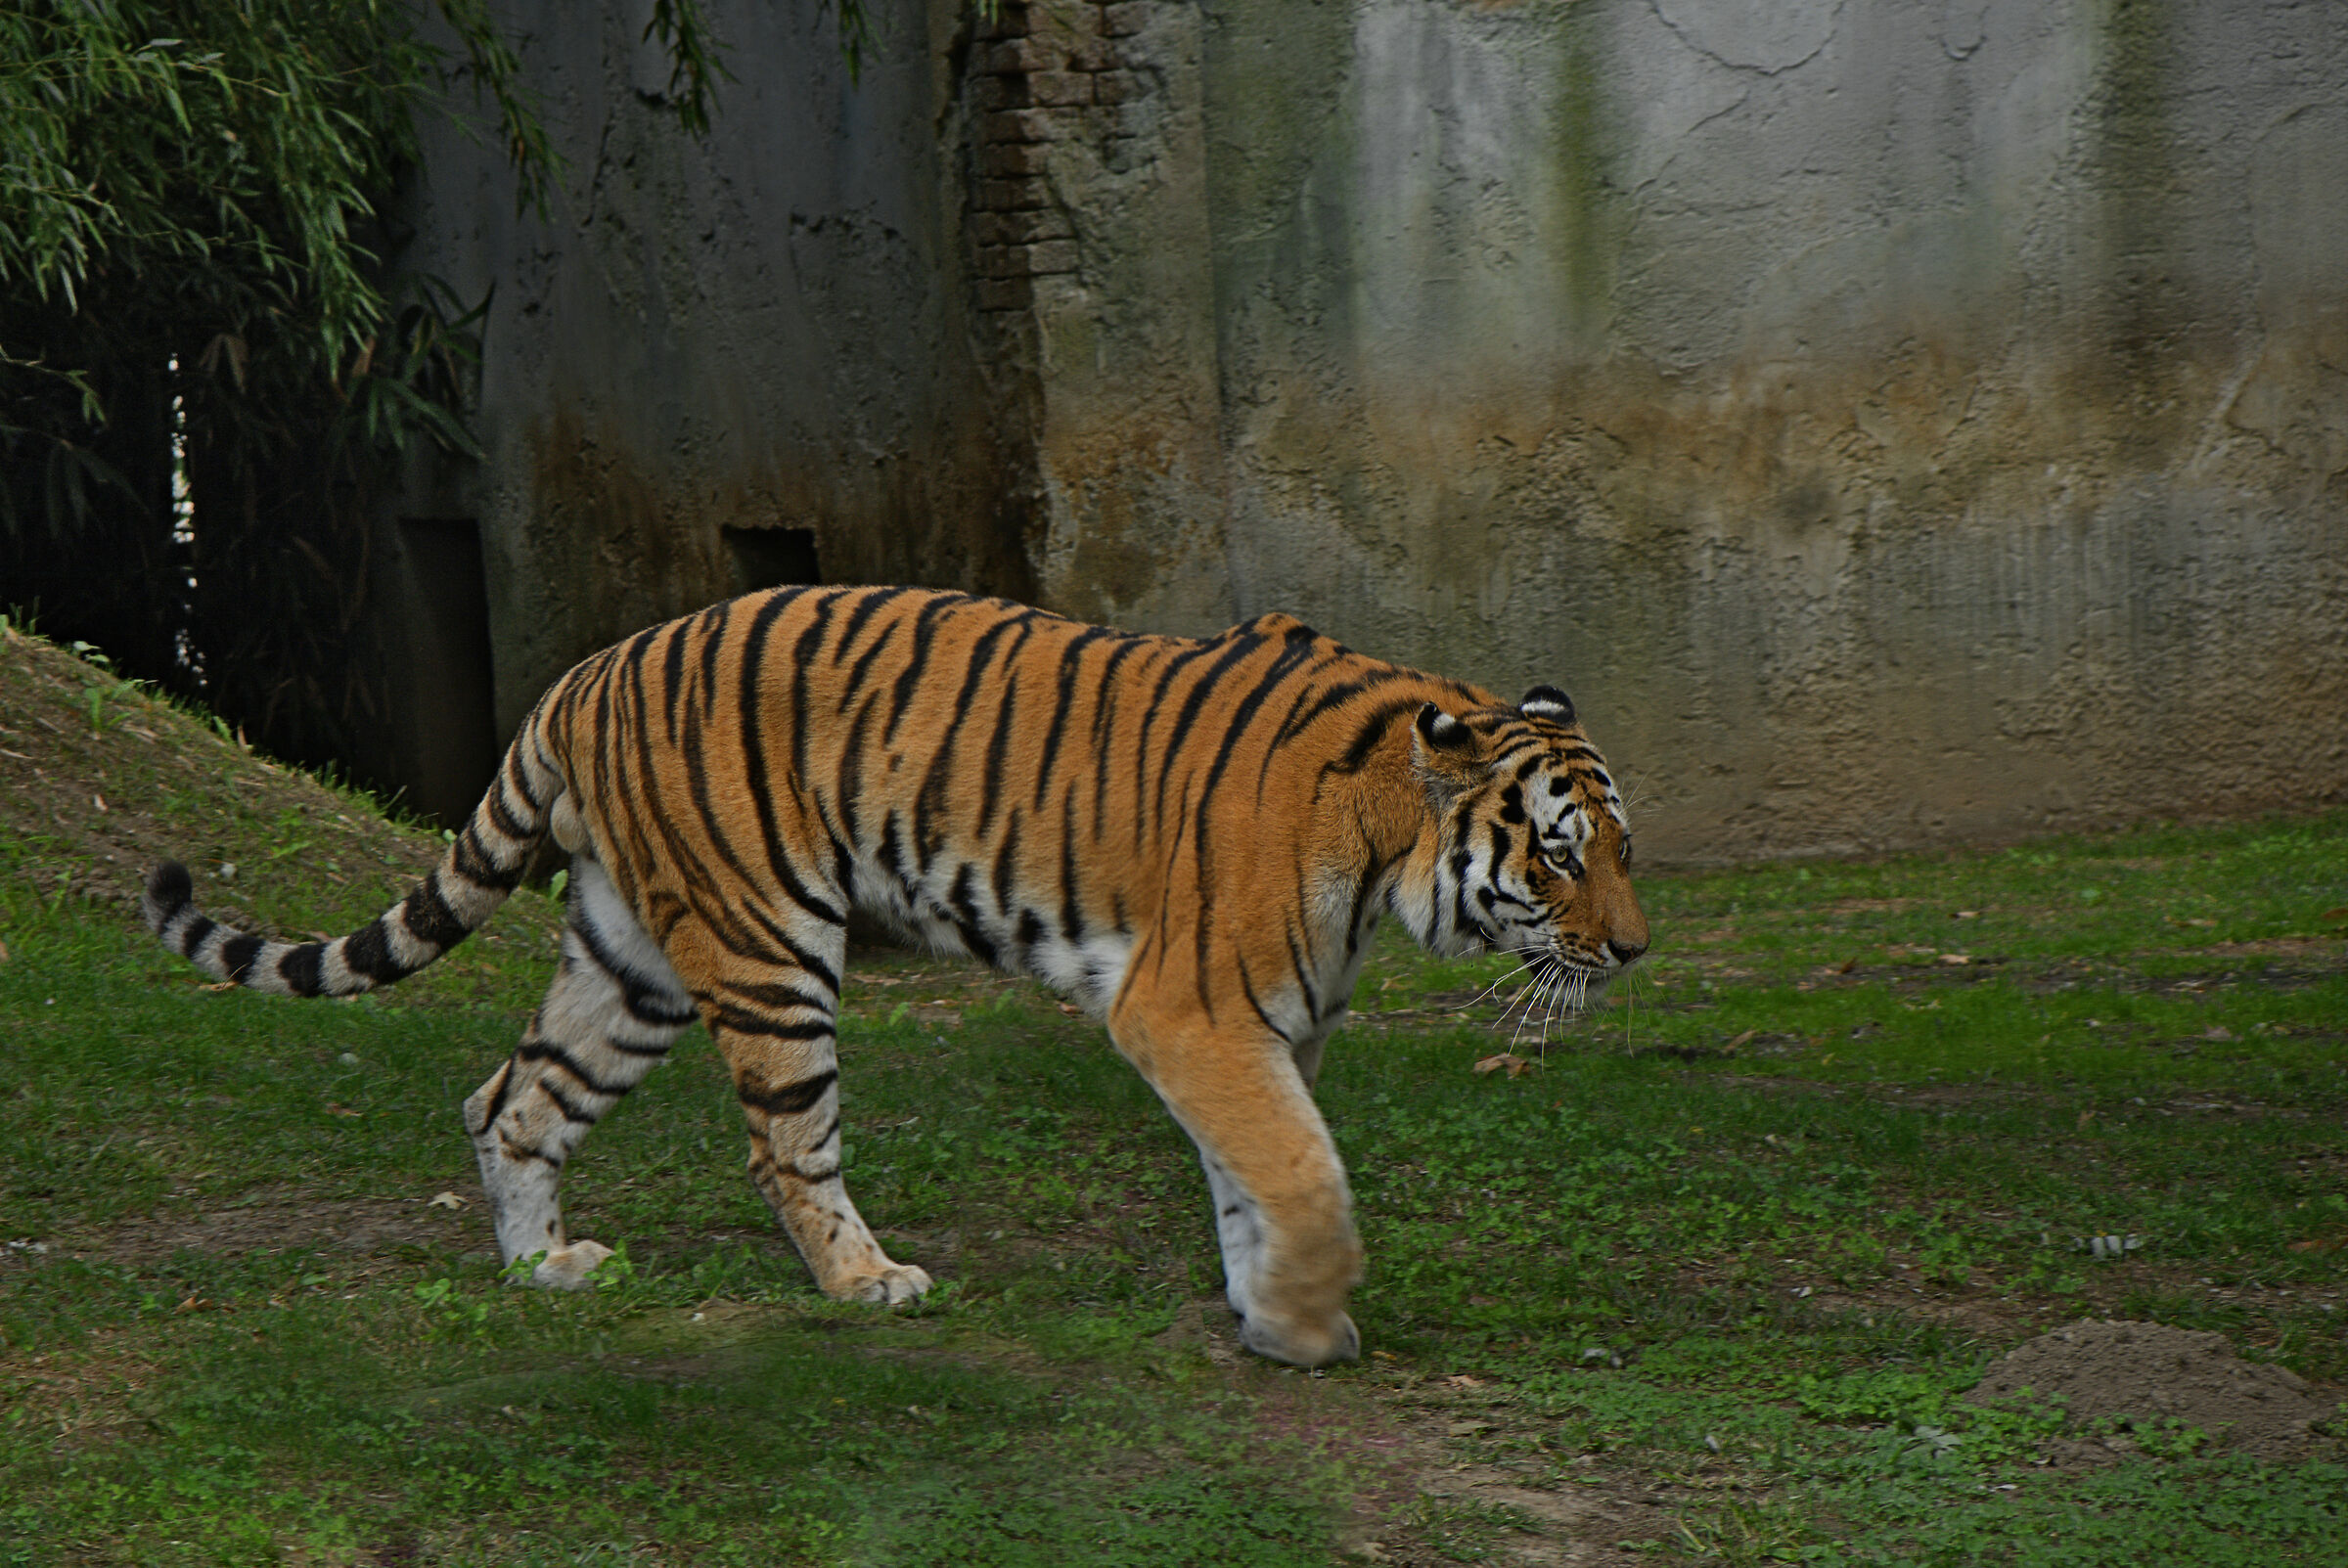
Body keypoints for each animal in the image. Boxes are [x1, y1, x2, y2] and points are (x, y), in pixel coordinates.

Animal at [142, 586, 1648, 1367]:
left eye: (1622, 848)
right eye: (1559, 854)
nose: (1634, 950)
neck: (1391, 843)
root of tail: (586, 670)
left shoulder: (1263, 1029)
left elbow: (1256, 1173)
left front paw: (1267, 1309)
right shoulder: (1195, 1011)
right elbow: (1299, 1168)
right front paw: (1310, 1318)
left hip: (633, 962)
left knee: (510, 1096)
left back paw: (545, 1270)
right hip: (765, 950)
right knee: (784, 1145)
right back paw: (867, 1280)